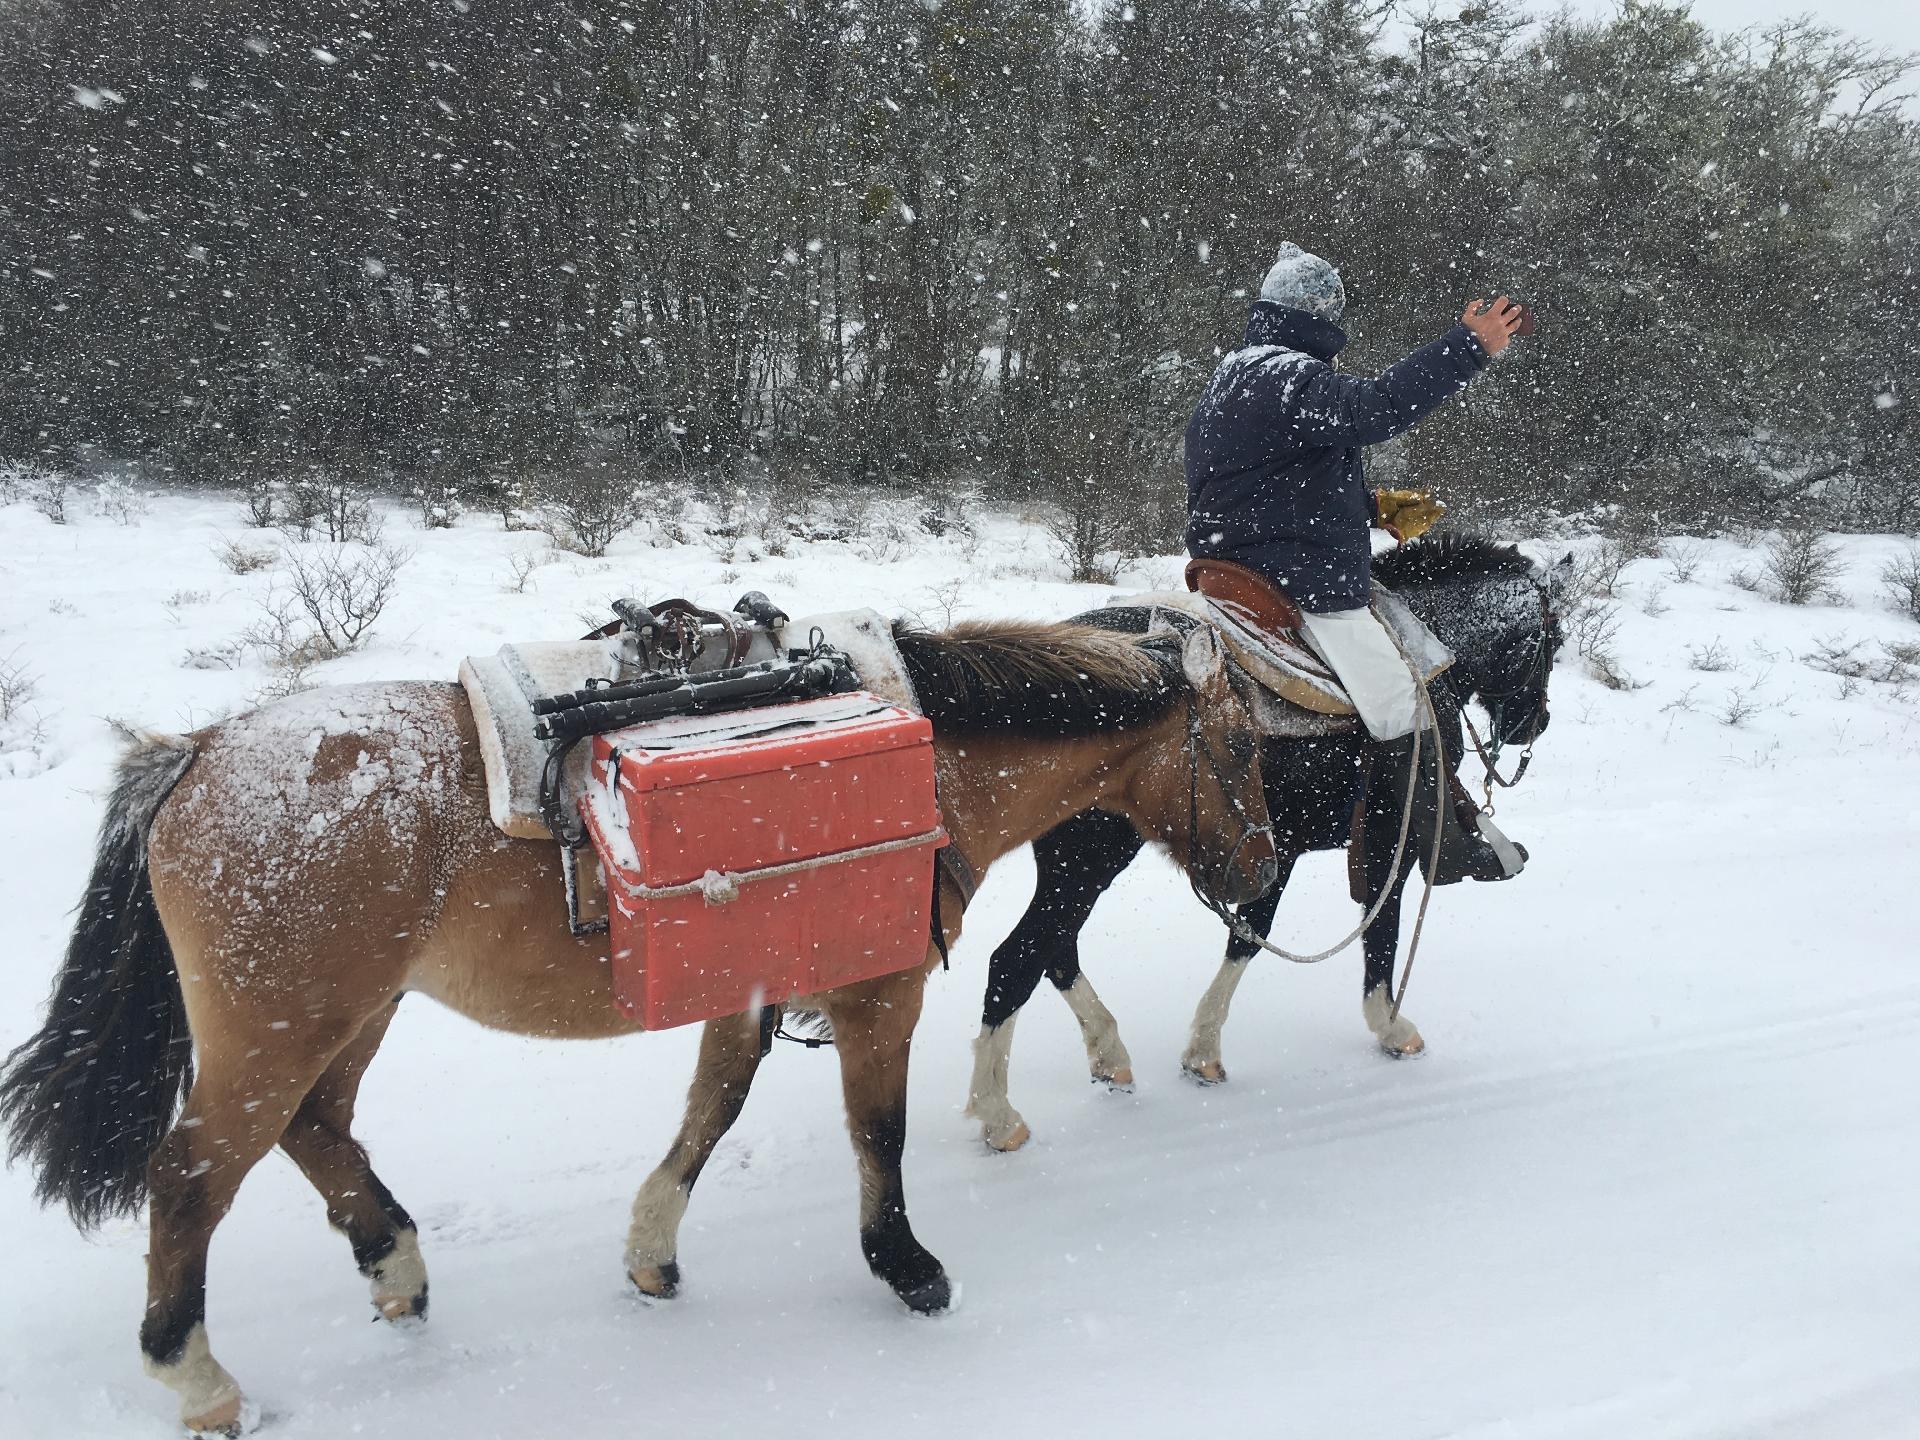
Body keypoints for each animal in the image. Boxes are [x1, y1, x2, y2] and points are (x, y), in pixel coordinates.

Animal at [0, 618, 1274, 1436]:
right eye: (1243, 747)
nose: (1262, 869)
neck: (929, 760)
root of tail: (196, 754)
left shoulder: (748, 995)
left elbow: (712, 1113)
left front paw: (652, 1252)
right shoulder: (880, 992)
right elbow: (880, 1134)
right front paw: (907, 1269)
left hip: (351, 1015)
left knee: (317, 1127)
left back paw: (396, 1263)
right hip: (279, 1029)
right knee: (192, 1177)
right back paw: (198, 1377)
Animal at [967, 537, 1566, 1159]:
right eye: (1554, 642)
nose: (1536, 723)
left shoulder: (1280, 852)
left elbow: (1251, 933)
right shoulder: (1380, 842)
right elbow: (1359, 928)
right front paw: (1385, 1024)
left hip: (1072, 862)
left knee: (1056, 951)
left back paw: (1108, 1055)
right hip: (1089, 859)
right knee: (1016, 960)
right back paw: (999, 1114)